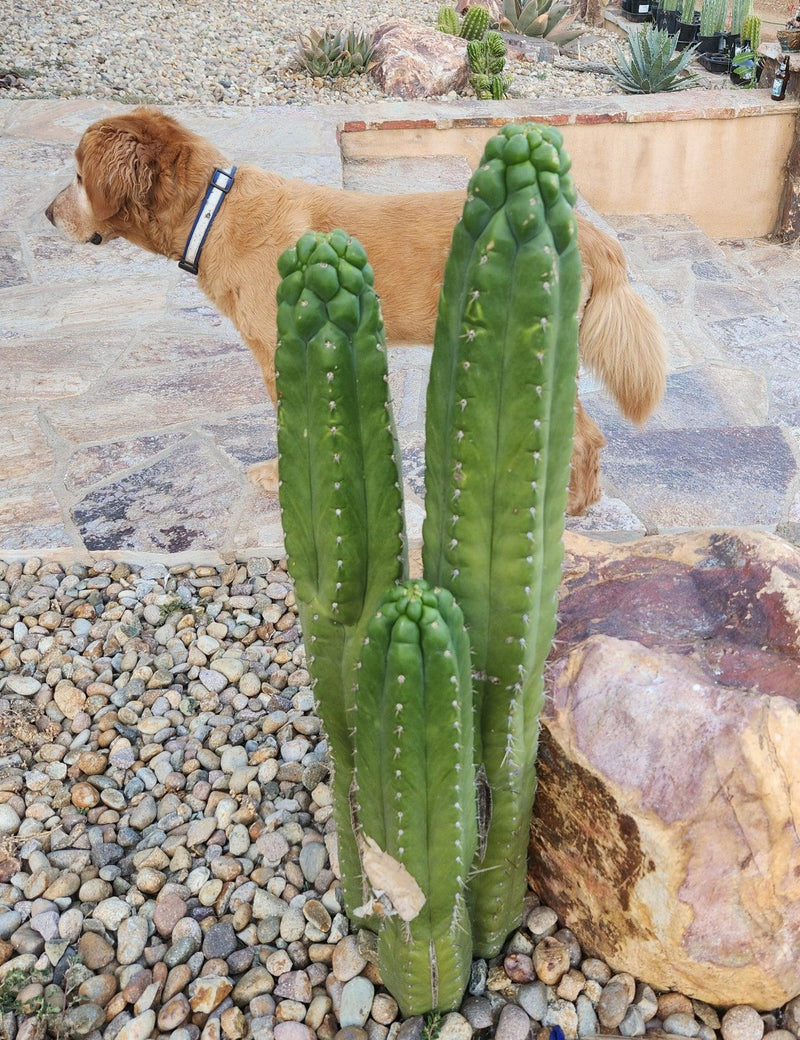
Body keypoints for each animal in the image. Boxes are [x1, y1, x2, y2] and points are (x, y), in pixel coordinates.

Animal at [46, 107, 665, 513]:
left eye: (78, 177)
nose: (48, 216)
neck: (211, 211)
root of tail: (593, 234)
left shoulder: (281, 354)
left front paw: (284, 480)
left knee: (582, 435)